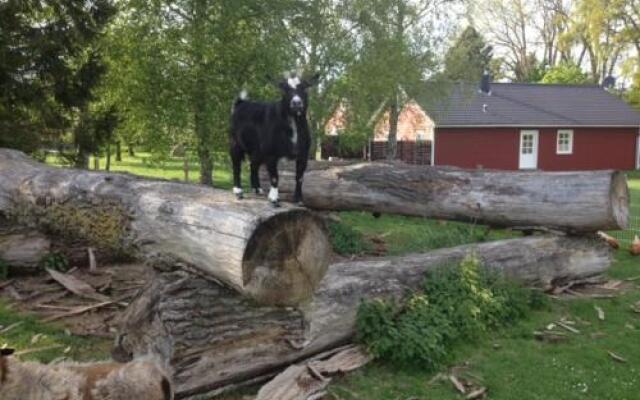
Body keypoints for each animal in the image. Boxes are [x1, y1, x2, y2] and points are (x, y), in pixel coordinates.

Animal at [230, 73, 320, 208]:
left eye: (304, 88)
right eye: (285, 90)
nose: (296, 103)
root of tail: (241, 103)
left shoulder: (303, 154)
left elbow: (299, 177)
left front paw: (298, 200)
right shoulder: (271, 153)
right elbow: (274, 177)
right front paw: (274, 199)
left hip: (258, 150)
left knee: (253, 165)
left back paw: (257, 189)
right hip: (235, 143)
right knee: (236, 165)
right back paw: (238, 191)